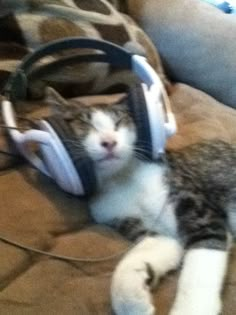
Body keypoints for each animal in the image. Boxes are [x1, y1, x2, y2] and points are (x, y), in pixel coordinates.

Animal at [45, 87, 236, 315]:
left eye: (119, 122)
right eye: (84, 123)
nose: (109, 142)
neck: (121, 178)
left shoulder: (196, 205)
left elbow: (205, 252)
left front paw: (191, 308)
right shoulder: (120, 217)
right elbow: (158, 246)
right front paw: (132, 300)